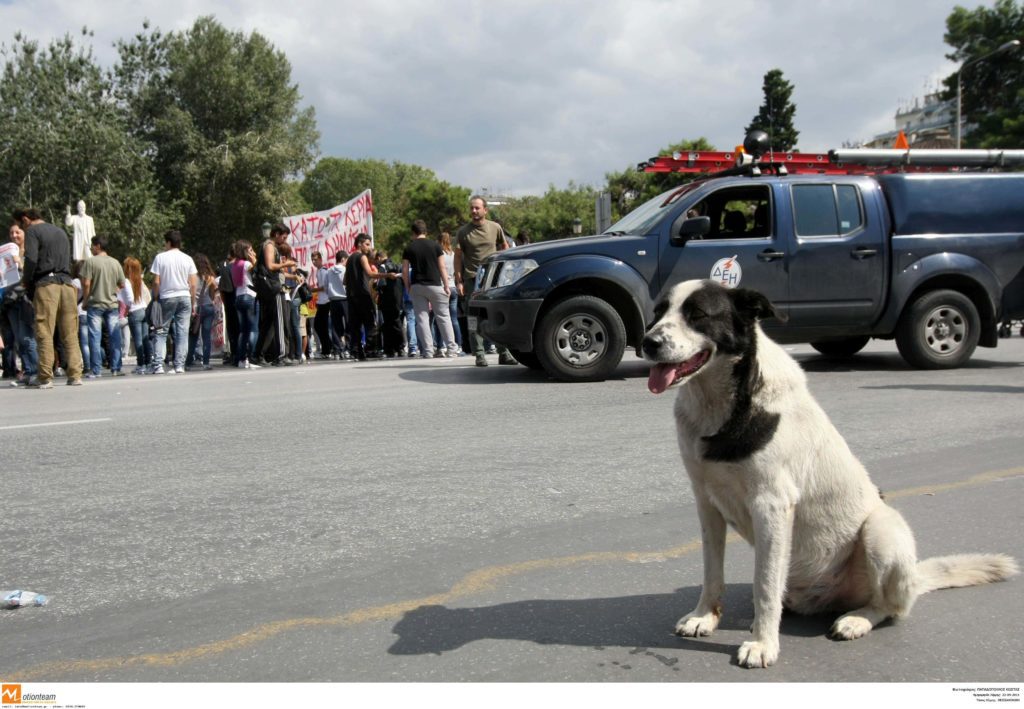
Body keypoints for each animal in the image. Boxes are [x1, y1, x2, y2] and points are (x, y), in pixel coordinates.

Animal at [638, 280, 1015, 668]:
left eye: (697, 314)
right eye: (658, 313)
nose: (647, 342)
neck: (722, 405)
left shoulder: (772, 506)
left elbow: (764, 585)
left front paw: (763, 643)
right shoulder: (707, 502)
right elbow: (712, 572)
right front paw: (705, 616)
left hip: (881, 531)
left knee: (890, 606)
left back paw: (856, 619)